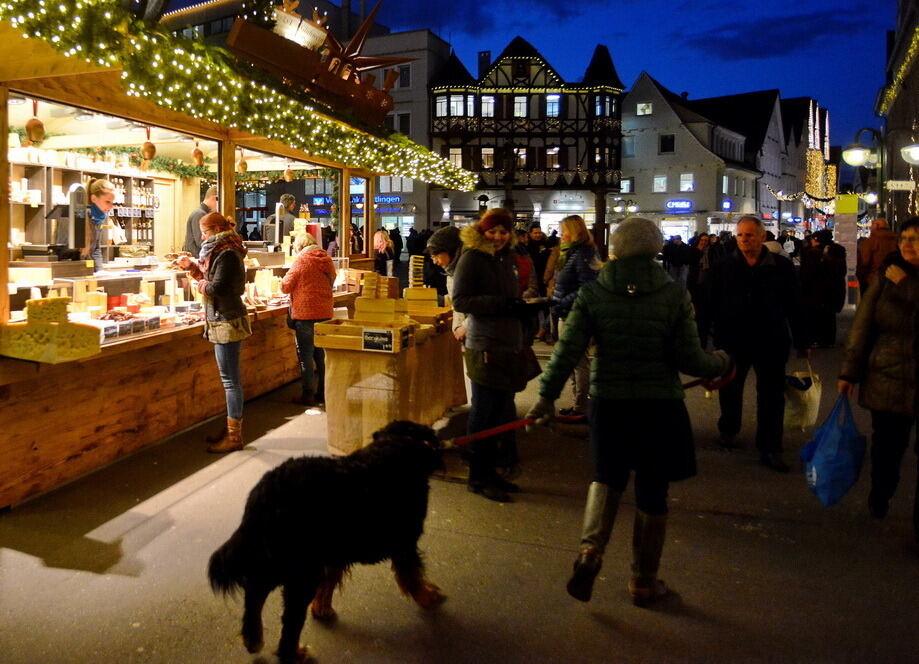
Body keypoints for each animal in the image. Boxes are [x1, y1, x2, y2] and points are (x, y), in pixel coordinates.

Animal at [208, 422, 446, 660]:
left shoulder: (333, 552)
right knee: (289, 620)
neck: (397, 444)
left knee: (254, 593)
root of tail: (266, 495)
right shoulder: (404, 542)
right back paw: (293, 653)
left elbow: (328, 582)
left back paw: (253, 638)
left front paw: (321, 608)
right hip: (300, 570)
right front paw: (427, 596)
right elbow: (413, 575)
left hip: (274, 562)